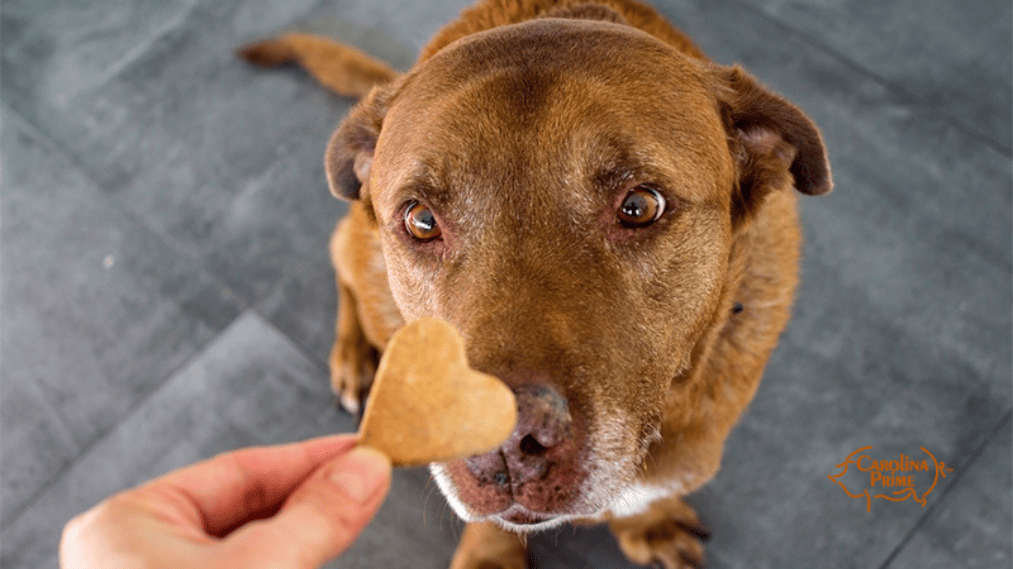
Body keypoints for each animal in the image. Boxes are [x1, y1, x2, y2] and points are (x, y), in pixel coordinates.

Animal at [239, 2, 830, 562]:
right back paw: (355, 357)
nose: (500, 443)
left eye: (640, 206)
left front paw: (649, 523)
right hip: (362, 257)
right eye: (421, 220)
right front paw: (490, 556)